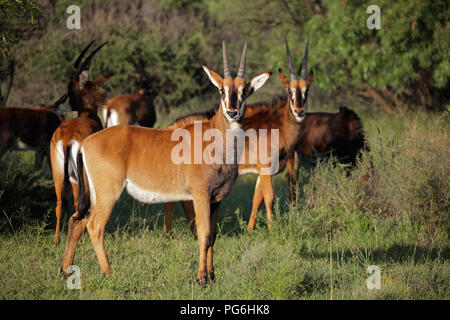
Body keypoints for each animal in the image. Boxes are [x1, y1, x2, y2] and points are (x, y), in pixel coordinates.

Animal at [49, 41, 111, 244]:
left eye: (69, 88)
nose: (55, 104)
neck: (87, 115)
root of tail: (67, 138)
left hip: (60, 172)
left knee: (61, 203)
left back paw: (57, 239)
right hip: (81, 174)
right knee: (83, 203)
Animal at [59, 40, 270, 284]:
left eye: (245, 90)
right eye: (221, 89)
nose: (232, 112)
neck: (215, 140)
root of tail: (86, 143)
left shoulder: (216, 199)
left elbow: (213, 236)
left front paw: (212, 276)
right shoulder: (200, 195)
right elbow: (204, 234)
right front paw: (202, 279)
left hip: (93, 195)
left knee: (76, 221)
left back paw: (66, 270)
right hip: (107, 193)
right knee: (94, 226)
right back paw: (109, 273)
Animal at [163, 37, 314, 234]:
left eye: (307, 91)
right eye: (289, 91)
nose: (299, 111)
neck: (278, 124)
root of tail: (170, 127)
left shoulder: (262, 172)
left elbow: (257, 199)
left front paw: (249, 231)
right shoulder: (265, 169)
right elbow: (269, 198)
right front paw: (272, 231)